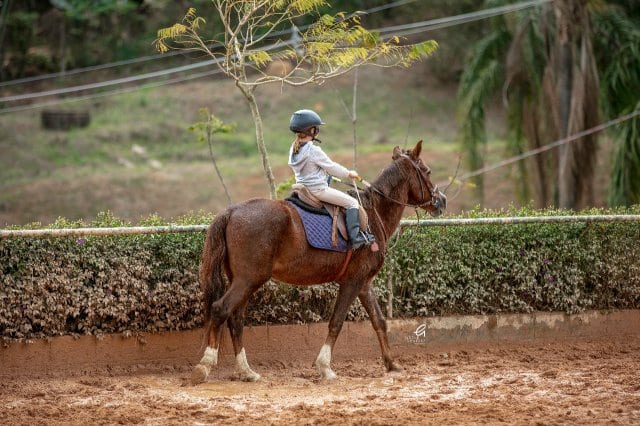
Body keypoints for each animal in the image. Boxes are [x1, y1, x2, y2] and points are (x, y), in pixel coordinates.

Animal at [191, 140, 446, 384]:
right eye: (428, 171)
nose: (441, 201)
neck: (373, 215)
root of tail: (232, 211)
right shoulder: (352, 282)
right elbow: (336, 322)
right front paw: (325, 368)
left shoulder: (364, 283)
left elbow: (379, 321)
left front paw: (391, 364)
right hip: (248, 279)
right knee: (220, 310)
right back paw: (204, 366)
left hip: (243, 280)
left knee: (235, 319)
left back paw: (246, 371)